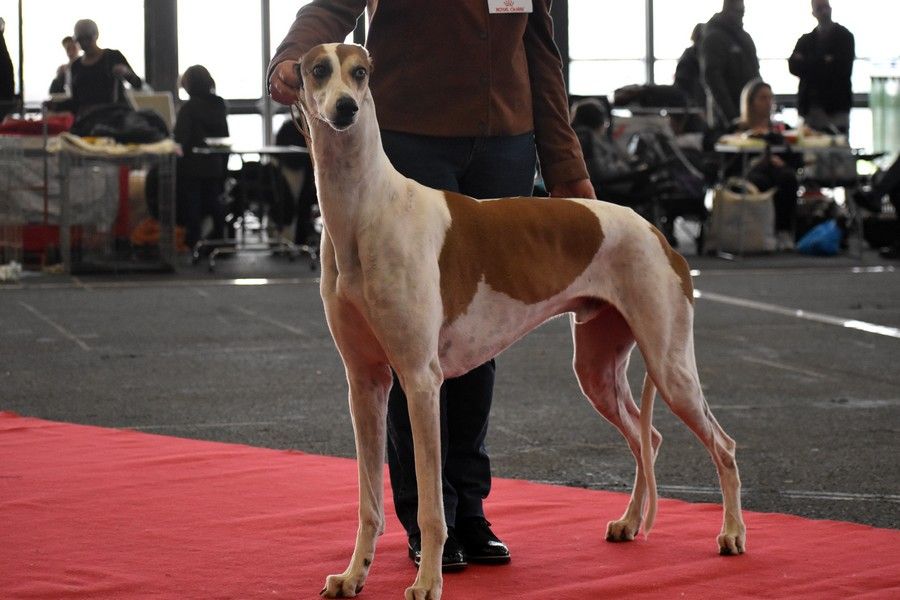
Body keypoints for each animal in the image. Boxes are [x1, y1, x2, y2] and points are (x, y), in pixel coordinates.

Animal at [296, 43, 744, 600]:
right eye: (317, 70)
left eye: (359, 73)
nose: (345, 110)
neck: (365, 210)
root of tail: (657, 231)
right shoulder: (366, 382)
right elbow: (369, 503)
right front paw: (354, 575)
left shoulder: (421, 380)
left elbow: (431, 506)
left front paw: (427, 582)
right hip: (596, 370)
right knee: (650, 438)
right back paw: (628, 522)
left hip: (670, 365)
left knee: (722, 445)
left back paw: (732, 533)